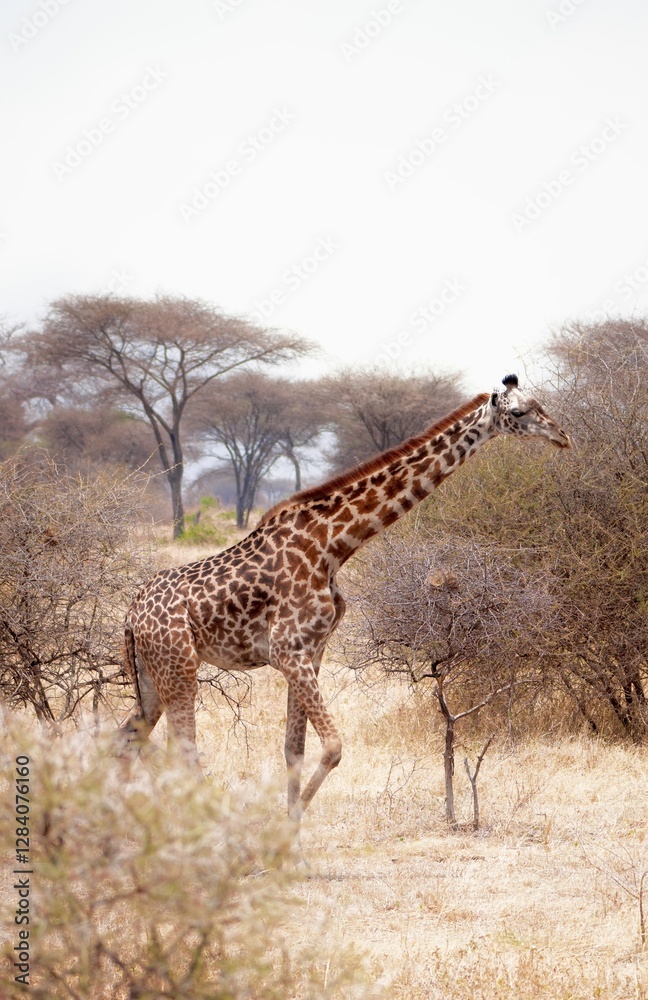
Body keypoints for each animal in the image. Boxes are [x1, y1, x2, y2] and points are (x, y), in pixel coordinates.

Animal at [118, 374, 570, 824]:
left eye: (540, 403)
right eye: (518, 412)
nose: (562, 436)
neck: (332, 545)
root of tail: (131, 614)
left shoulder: (312, 651)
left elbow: (294, 750)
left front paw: (291, 831)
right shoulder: (287, 650)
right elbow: (333, 747)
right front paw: (286, 827)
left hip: (152, 674)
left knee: (127, 738)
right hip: (180, 667)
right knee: (181, 753)